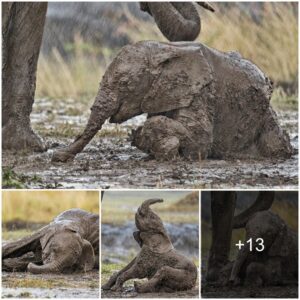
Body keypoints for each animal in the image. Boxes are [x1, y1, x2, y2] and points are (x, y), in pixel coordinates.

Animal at [52, 40, 292, 162]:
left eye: (125, 83)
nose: (57, 156)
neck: (165, 48)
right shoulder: (164, 93)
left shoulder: (201, 91)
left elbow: (200, 142)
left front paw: (142, 136)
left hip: (265, 115)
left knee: (275, 143)